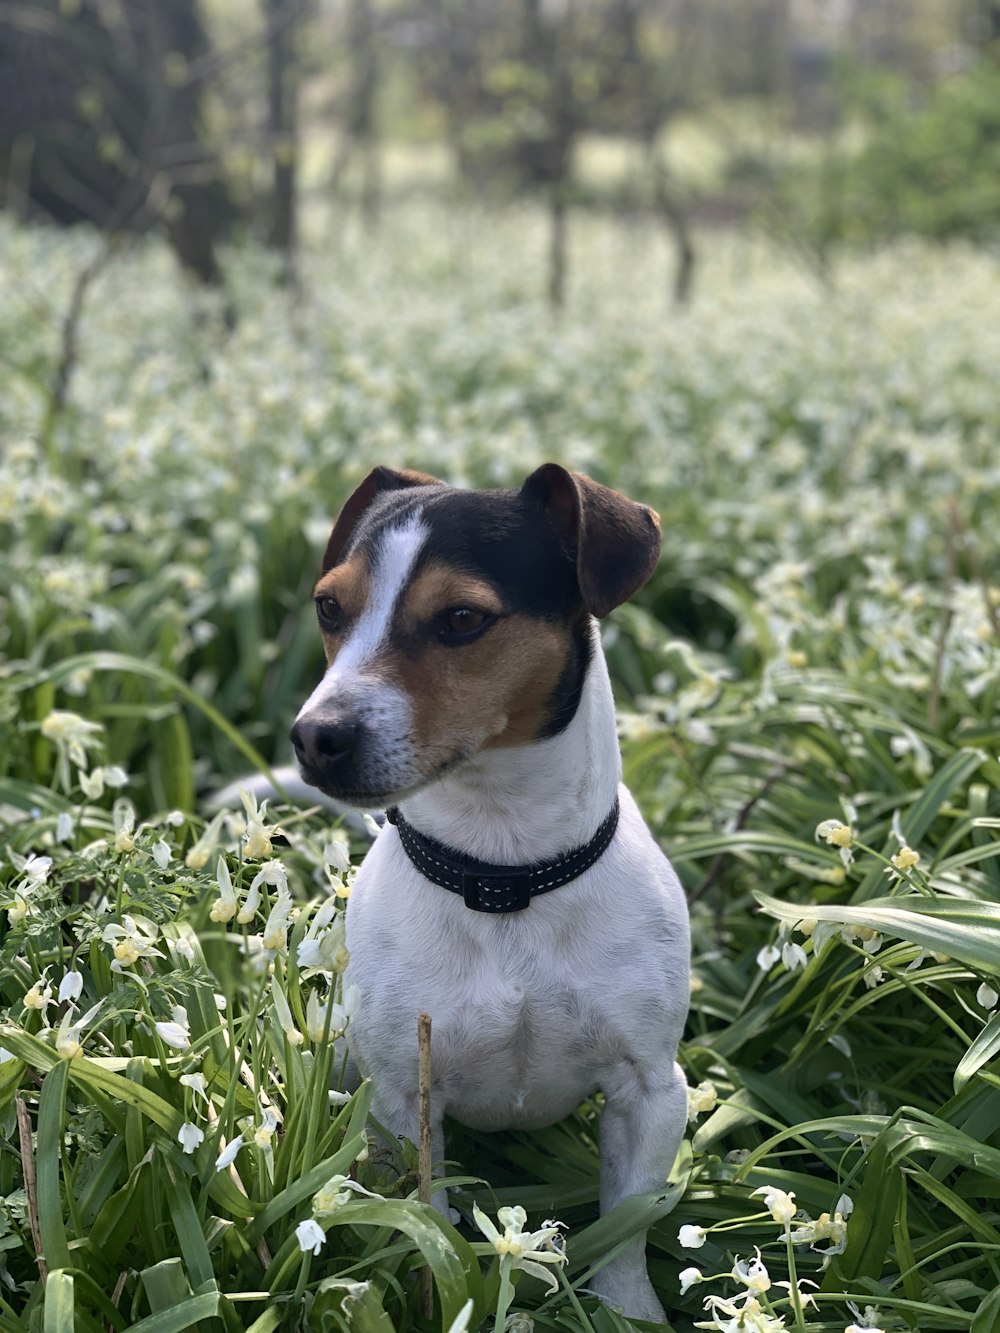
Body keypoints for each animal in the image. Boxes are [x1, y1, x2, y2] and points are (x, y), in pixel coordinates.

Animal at [293, 463, 693, 1317]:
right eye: (330, 607)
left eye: (462, 618)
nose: (315, 735)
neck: (502, 874)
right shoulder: (403, 1099)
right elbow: (424, 1217)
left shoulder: (651, 1090)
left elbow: (627, 1227)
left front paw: (627, 1311)